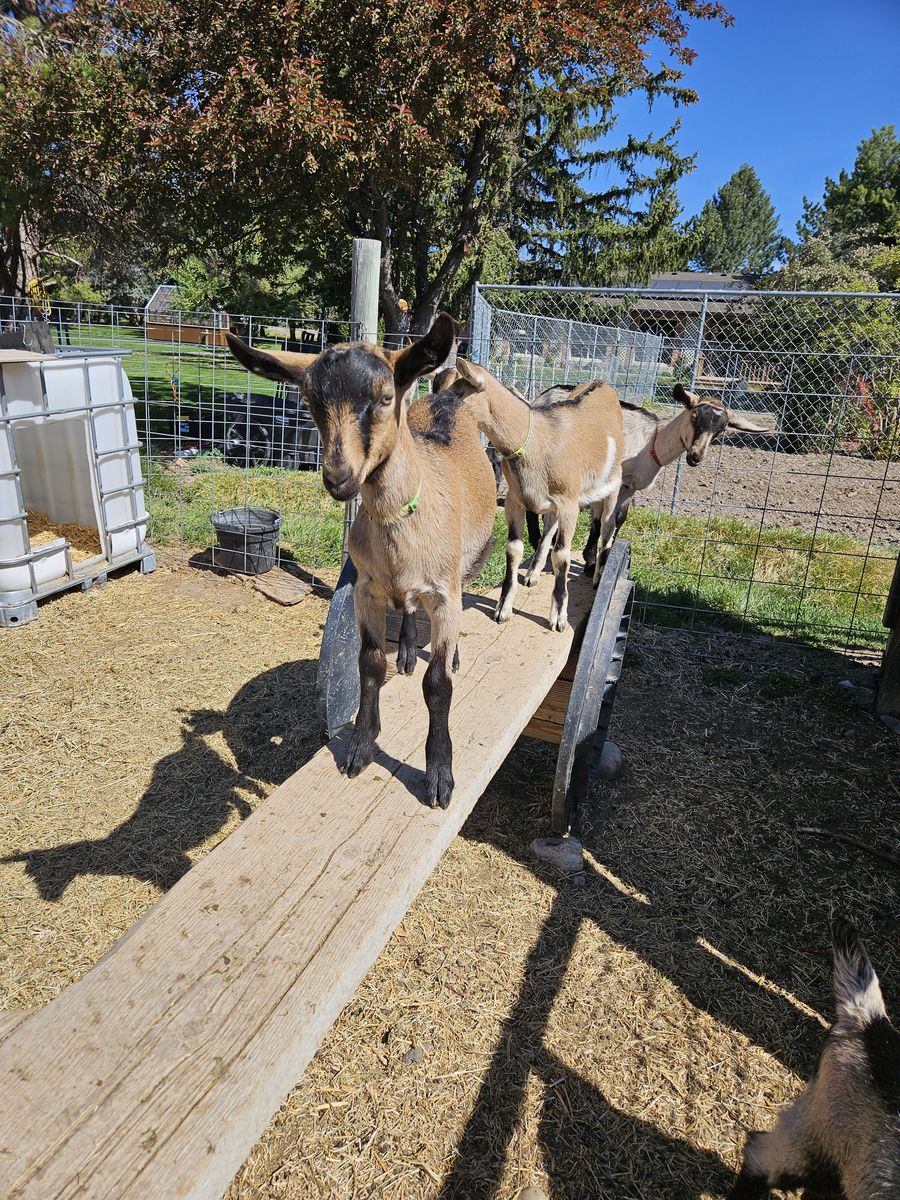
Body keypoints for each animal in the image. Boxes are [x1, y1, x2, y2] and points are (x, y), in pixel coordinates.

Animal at [226, 315, 496, 809]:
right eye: (311, 402)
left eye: (386, 397)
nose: (339, 477)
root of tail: (446, 396)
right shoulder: (368, 586)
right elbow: (369, 663)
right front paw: (360, 747)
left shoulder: (443, 593)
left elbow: (437, 685)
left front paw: (439, 776)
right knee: (406, 610)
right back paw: (405, 652)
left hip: (469, 560)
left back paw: (450, 655)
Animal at [448, 359, 623, 632]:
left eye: (458, 393)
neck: (537, 443)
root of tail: (602, 384)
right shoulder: (515, 500)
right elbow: (514, 549)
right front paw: (503, 609)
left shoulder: (569, 503)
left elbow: (562, 556)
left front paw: (559, 617)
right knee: (549, 527)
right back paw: (532, 574)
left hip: (612, 485)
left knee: (606, 527)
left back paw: (597, 576)